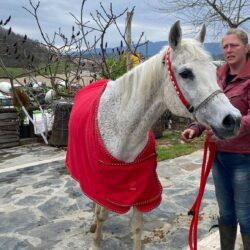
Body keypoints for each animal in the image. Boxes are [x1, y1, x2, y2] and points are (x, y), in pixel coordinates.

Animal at [65, 21, 241, 250]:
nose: (233, 120)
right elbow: (102, 213)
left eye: (213, 70)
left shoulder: (143, 189)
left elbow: (137, 226)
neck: (123, 131)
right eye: (186, 73)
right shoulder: (102, 186)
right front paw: (96, 241)